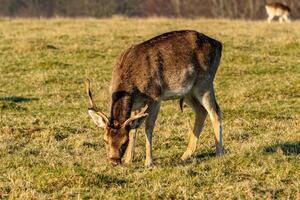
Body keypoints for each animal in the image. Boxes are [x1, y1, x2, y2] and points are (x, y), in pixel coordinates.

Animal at [85, 30, 224, 167]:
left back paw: (219, 153)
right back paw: (185, 155)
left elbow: (148, 127)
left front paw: (148, 162)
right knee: (201, 111)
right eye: (105, 140)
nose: (114, 161)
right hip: (189, 91)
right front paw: (129, 159)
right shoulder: (137, 104)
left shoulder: (156, 96)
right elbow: (134, 128)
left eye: (124, 142)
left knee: (215, 111)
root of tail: (218, 44)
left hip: (205, 82)